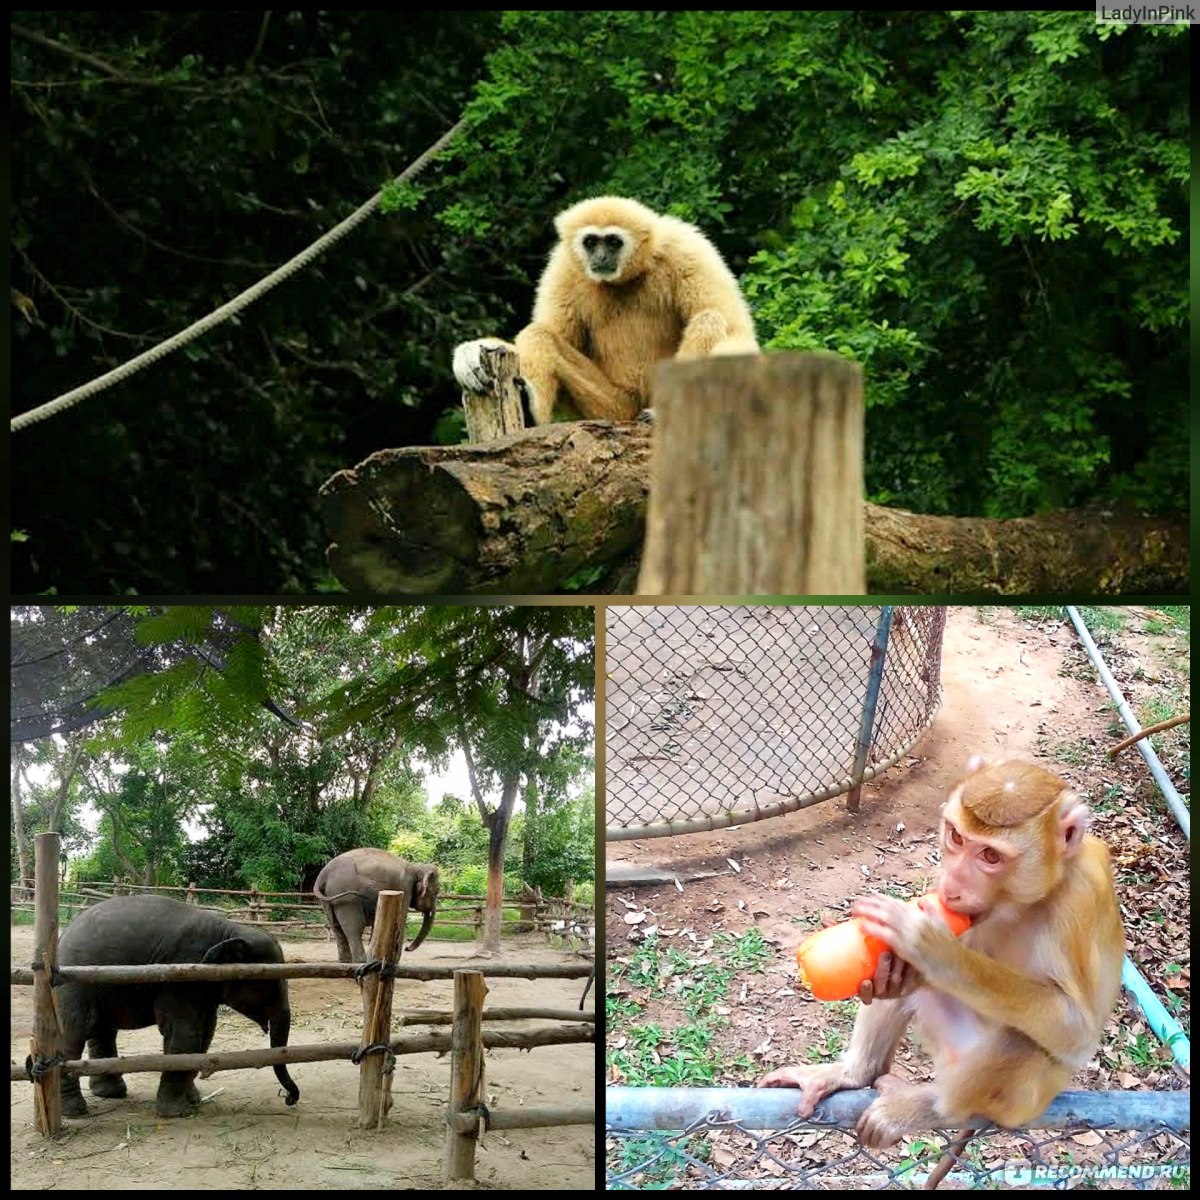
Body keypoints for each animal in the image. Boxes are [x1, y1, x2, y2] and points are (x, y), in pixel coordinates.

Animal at [54, 897, 300, 1118]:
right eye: (266, 984)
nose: (288, 1099)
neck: (230, 929)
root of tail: (63, 935)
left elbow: (205, 1036)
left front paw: (193, 1100)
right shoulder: (182, 975)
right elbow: (186, 1035)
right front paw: (177, 1113)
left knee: (101, 1028)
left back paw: (110, 1093)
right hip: (73, 985)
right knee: (76, 1031)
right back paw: (74, 1111)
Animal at [758, 758, 1123, 1152]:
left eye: (990, 856)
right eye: (957, 837)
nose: (952, 887)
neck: (1022, 904)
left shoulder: (1082, 896)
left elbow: (1077, 1032)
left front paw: (932, 946)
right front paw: (894, 970)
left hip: (1020, 1102)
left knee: (1025, 1041)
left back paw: (934, 1107)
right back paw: (854, 1072)